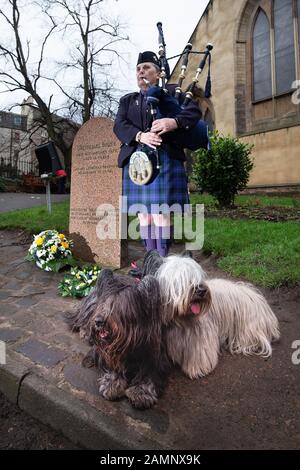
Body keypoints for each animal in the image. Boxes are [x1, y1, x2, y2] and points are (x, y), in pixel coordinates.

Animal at [142, 252, 280, 380]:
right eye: (182, 279)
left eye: (197, 276)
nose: (201, 290)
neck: (181, 319)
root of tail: (260, 300)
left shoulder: (199, 337)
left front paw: (196, 369)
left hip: (249, 328)